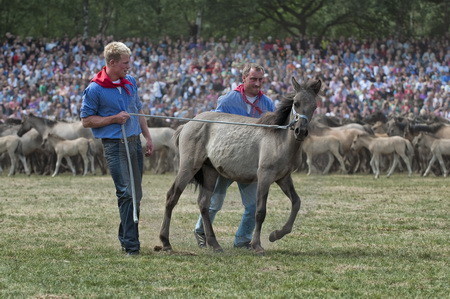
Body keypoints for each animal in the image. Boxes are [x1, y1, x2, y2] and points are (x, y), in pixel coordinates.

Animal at [160, 78, 318, 255]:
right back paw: (166, 242)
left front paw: (276, 234)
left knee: (204, 204)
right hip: (188, 167)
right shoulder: (265, 176)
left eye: (314, 106)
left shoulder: (283, 178)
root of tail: (187, 124)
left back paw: (214, 244)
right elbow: (260, 211)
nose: (300, 131)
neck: (279, 138)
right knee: (172, 197)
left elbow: (296, 202)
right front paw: (257, 245)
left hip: (210, 172)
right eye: (296, 103)